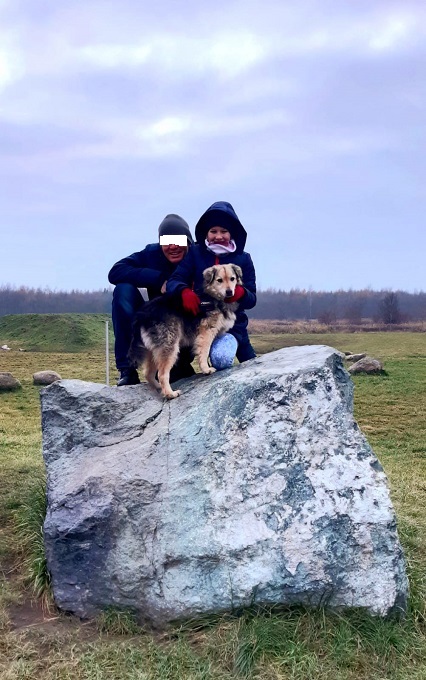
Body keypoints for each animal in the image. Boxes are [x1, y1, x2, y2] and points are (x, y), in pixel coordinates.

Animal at [128, 264, 243, 399]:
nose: (229, 292)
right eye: (219, 280)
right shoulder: (206, 332)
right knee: (162, 374)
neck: (212, 296)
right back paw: (170, 393)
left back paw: (159, 388)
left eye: (232, 279)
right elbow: (204, 351)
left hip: (154, 349)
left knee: (148, 373)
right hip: (169, 345)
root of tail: (142, 315)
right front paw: (206, 369)